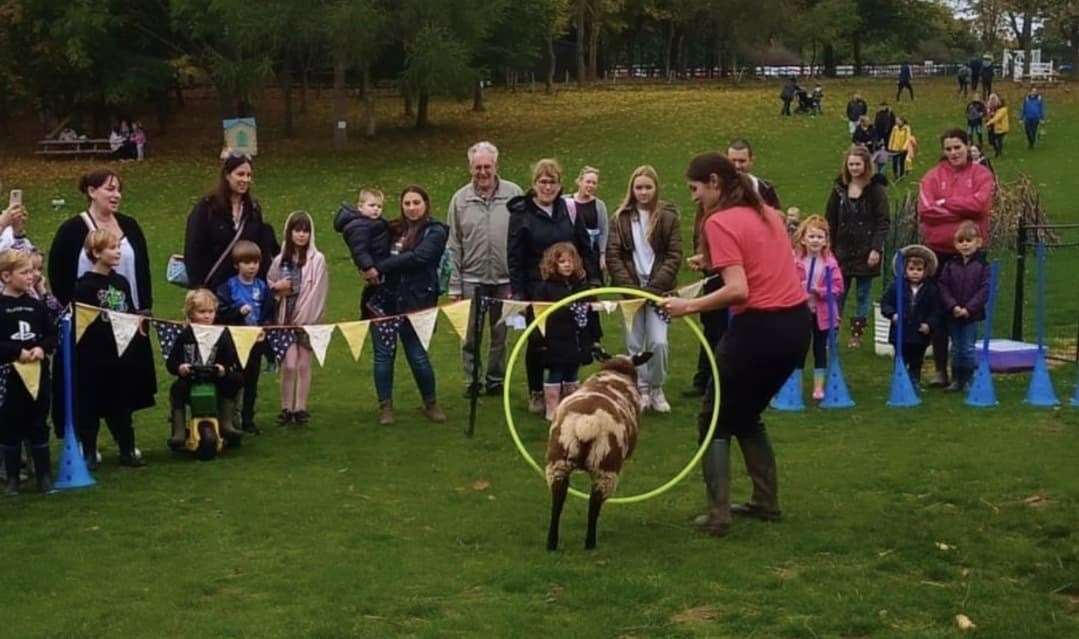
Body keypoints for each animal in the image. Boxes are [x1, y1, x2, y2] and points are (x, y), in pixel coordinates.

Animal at [543, 349, 651, 548]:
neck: (614, 374)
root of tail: (587, 423)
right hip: (606, 467)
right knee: (594, 505)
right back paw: (590, 544)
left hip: (558, 461)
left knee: (558, 499)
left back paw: (552, 543)